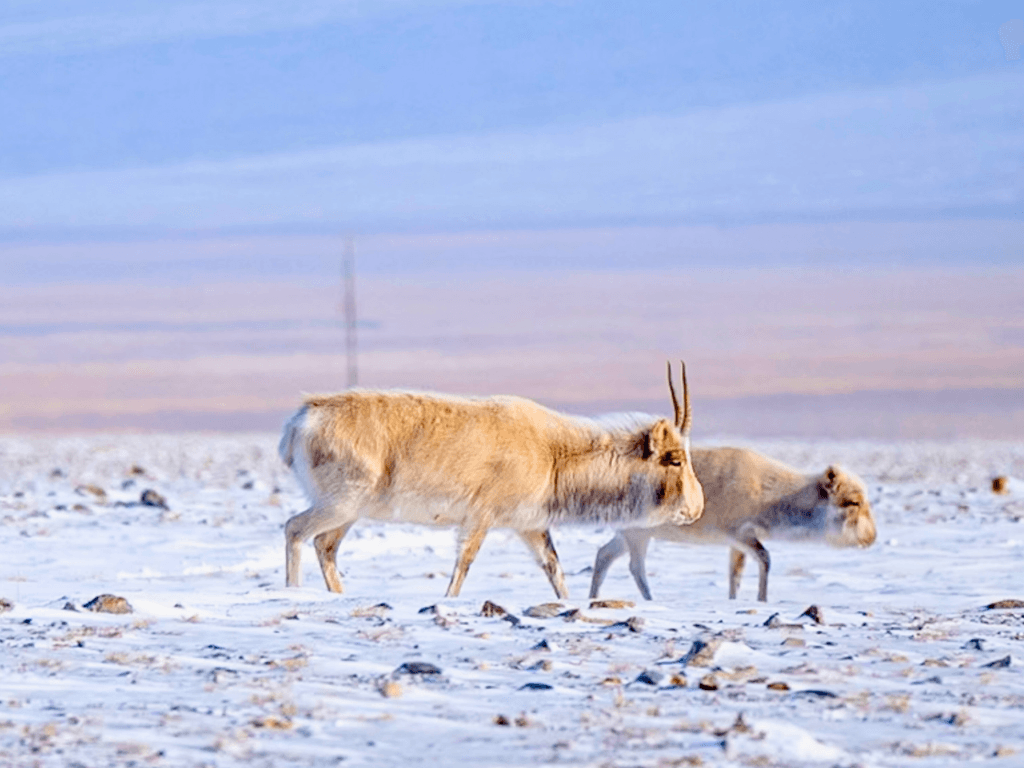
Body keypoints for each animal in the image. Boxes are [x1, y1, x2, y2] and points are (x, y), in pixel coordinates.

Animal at [279, 363, 702, 598]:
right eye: (675, 458)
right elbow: (464, 564)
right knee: (295, 530)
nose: (696, 510)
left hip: (349, 512)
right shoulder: (480, 518)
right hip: (340, 504)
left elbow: (554, 568)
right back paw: (294, 593)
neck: (553, 451)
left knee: (325, 546)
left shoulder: (530, 526)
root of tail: (302, 418)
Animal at [589, 446, 876, 602]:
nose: (871, 537)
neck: (773, 494)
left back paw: (593, 596)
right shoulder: (739, 534)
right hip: (637, 535)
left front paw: (735, 599)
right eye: (852, 502)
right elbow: (765, 559)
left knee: (604, 555)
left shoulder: (738, 543)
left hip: (630, 535)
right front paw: (762, 599)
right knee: (635, 567)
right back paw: (650, 598)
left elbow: (735, 574)